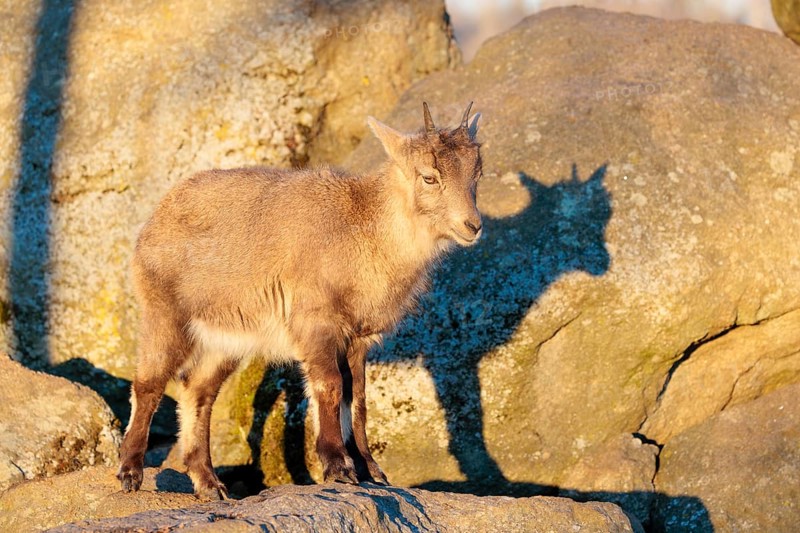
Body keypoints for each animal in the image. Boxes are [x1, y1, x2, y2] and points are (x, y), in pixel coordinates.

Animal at [117, 102, 483, 499]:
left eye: (477, 174)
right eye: (429, 177)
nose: (473, 226)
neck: (365, 228)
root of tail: (154, 220)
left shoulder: (357, 337)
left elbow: (357, 398)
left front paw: (370, 471)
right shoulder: (316, 322)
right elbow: (330, 386)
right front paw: (338, 466)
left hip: (225, 340)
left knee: (197, 391)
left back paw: (209, 484)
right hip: (164, 313)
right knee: (148, 384)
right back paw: (130, 471)